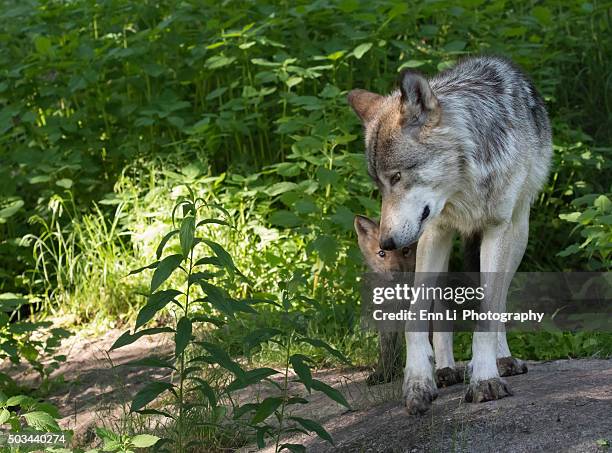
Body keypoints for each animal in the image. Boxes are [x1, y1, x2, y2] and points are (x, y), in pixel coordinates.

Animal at [346, 55, 552, 414]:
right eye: (379, 185)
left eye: (397, 177)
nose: (385, 242)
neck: (463, 185)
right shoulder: (434, 232)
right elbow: (414, 318)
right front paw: (417, 383)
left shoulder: (497, 229)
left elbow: (487, 314)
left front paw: (485, 380)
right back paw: (445, 369)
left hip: (518, 235)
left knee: (498, 300)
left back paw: (501, 360)